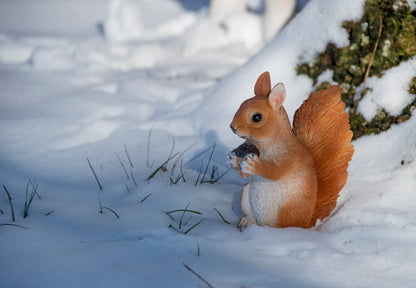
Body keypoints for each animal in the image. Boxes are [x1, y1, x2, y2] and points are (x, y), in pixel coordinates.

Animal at [228, 72, 354, 230]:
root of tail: (306, 224)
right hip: (245, 194)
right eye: (241, 104)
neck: (266, 146)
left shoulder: (289, 157)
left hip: (288, 212)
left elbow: (274, 171)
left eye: (257, 117)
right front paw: (233, 160)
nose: (232, 127)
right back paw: (247, 222)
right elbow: (245, 175)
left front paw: (252, 164)